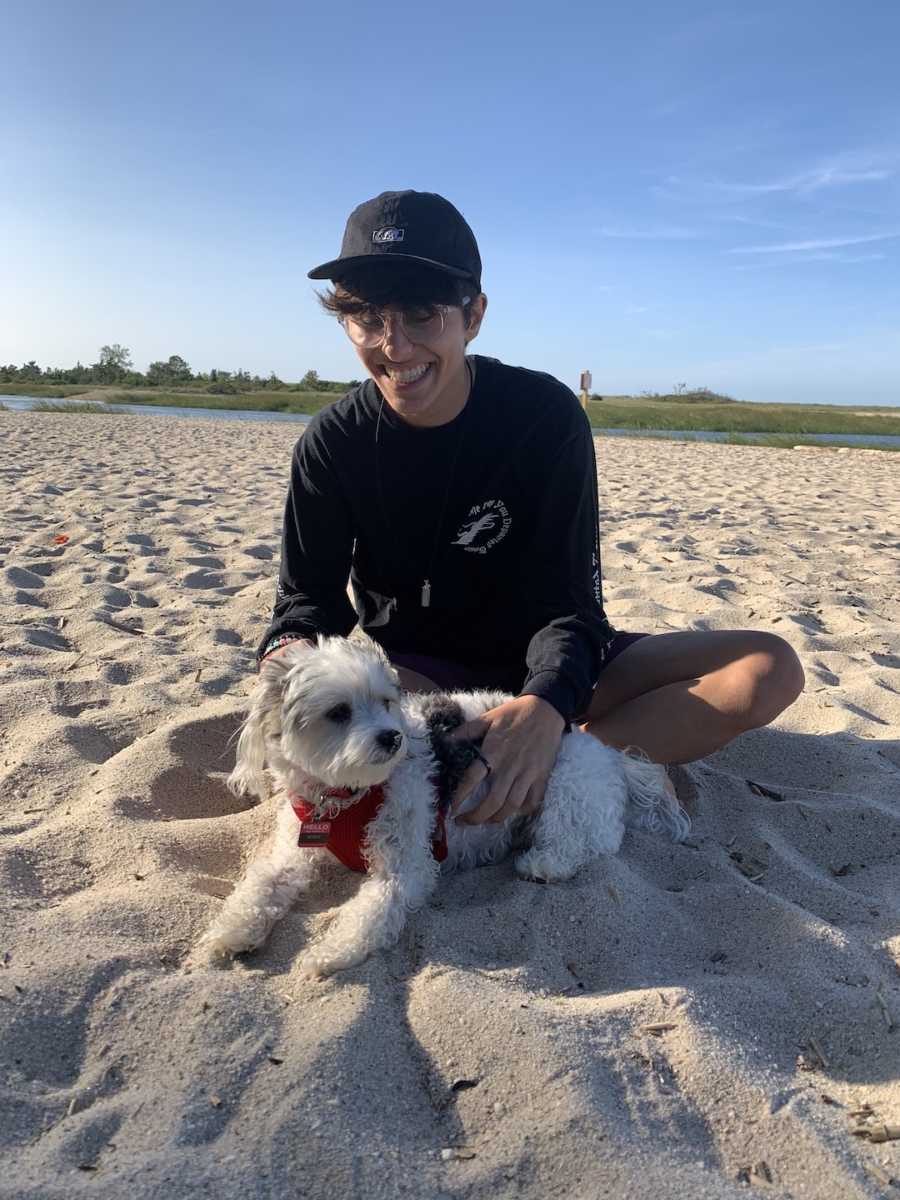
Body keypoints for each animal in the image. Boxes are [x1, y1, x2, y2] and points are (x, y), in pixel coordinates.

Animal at [195, 638, 691, 974]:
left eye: (386, 702)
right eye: (338, 713)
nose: (392, 737)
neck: (348, 797)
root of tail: (610, 755)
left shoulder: (404, 865)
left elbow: (372, 910)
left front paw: (330, 952)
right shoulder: (291, 853)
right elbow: (260, 888)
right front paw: (229, 932)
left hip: (566, 790)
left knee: (580, 845)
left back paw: (544, 863)